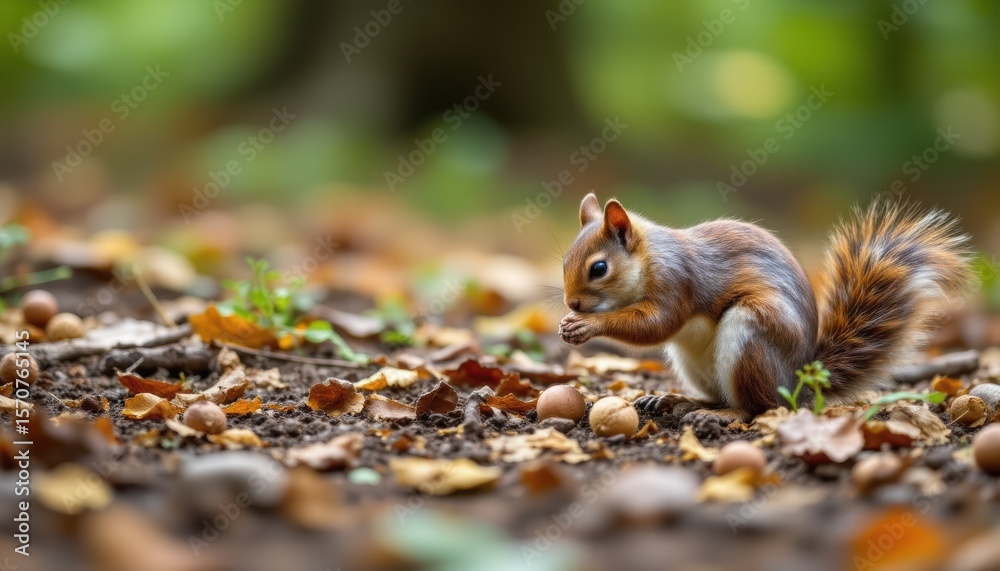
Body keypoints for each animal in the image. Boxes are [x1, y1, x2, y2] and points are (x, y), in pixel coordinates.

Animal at [558, 193, 974, 417]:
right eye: (564, 262)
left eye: (599, 268)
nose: (572, 302)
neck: (650, 258)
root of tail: (797, 382)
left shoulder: (676, 283)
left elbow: (655, 325)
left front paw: (589, 325)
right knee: (717, 394)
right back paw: (674, 400)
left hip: (752, 332)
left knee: (759, 405)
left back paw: (722, 414)